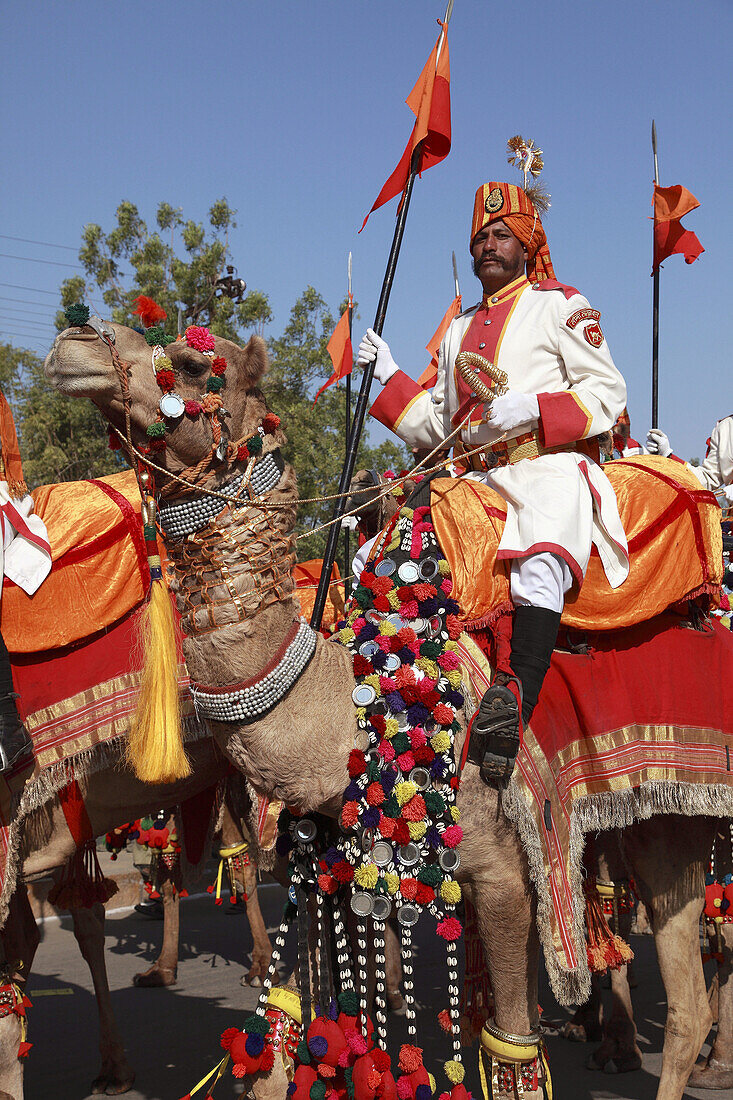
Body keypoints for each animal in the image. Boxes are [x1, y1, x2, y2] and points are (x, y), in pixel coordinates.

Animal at [44, 312, 726, 1100]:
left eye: (191, 363)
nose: (74, 342)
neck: (349, 700)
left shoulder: (502, 872)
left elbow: (513, 1053)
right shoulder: (341, 862)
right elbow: (325, 1029)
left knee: (686, 996)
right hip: (656, 821)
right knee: (686, 998)